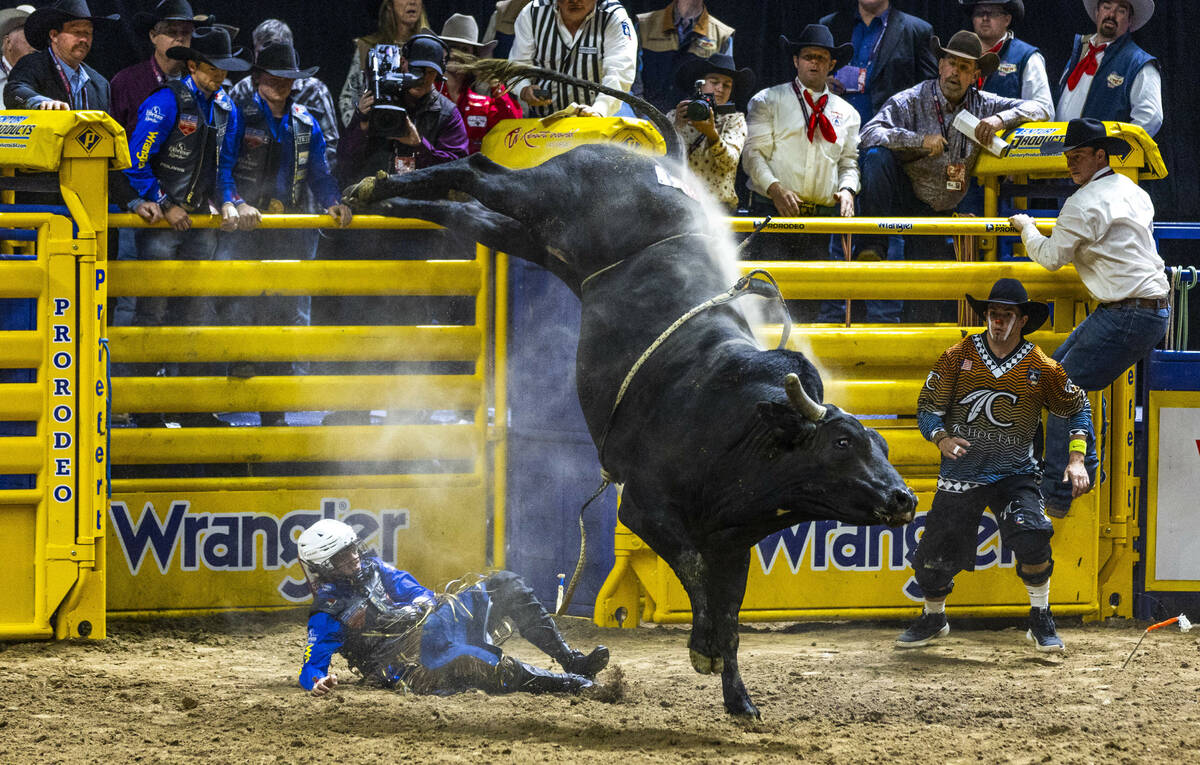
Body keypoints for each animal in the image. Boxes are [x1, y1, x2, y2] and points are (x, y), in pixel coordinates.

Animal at [343, 61, 918, 718]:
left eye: (883, 446)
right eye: (843, 444)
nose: (904, 499)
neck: (741, 426)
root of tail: (660, 159)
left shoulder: (734, 540)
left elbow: (730, 610)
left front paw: (737, 695)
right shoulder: (644, 509)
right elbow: (692, 572)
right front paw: (702, 649)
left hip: (539, 239)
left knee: (473, 214)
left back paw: (378, 195)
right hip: (549, 194)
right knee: (477, 171)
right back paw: (375, 184)